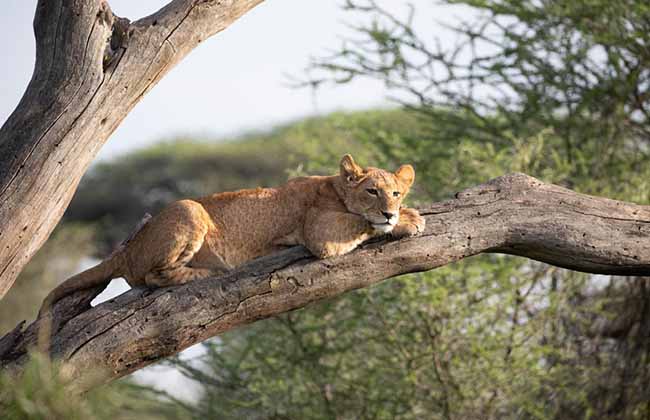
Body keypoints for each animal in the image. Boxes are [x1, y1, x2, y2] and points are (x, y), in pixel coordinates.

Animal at [40, 154, 426, 316]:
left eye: (395, 193)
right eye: (372, 191)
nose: (390, 210)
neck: (335, 188)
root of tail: (126, 248)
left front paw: (407, 214)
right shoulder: (319, 232)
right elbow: (361, 223)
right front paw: (405, 222)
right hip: (189, 209)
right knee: (154, 276)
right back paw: (207, 272)